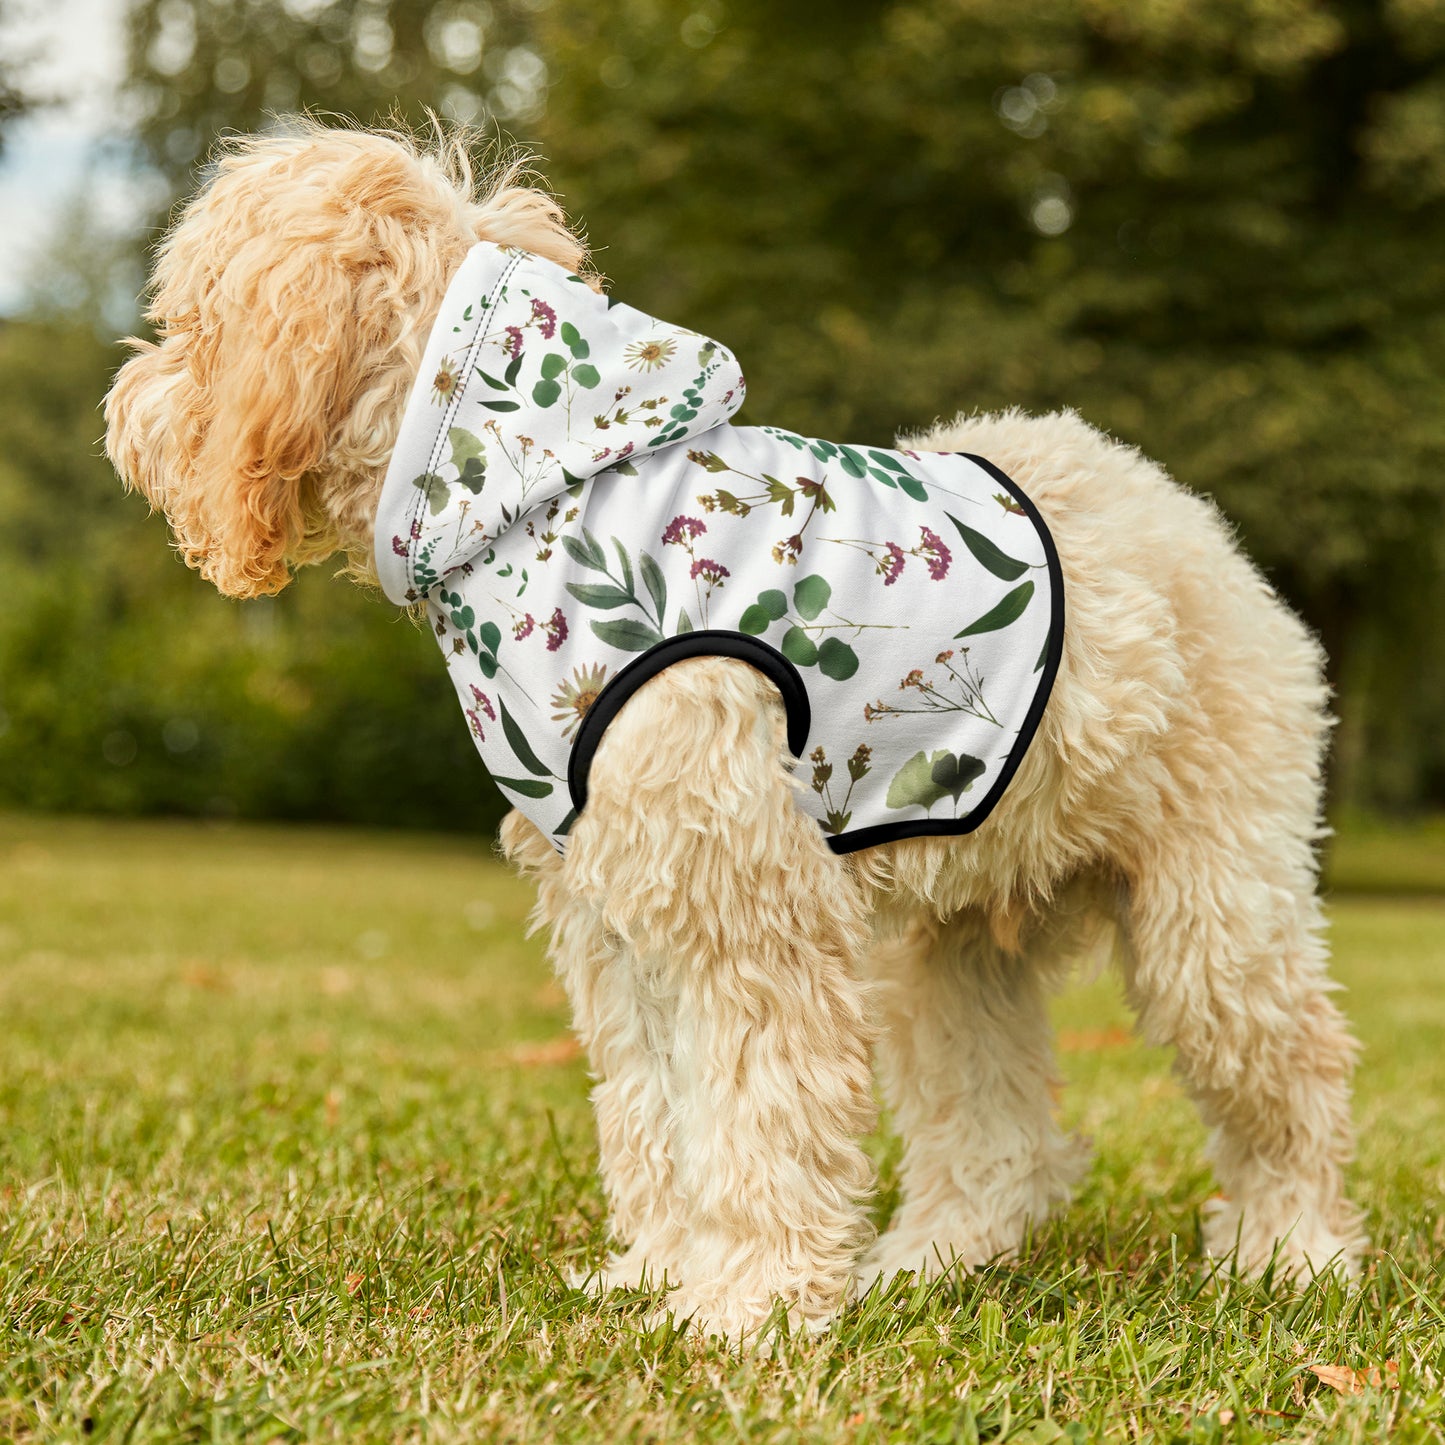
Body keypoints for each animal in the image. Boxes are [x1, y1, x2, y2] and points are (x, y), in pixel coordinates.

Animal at [104, 124, 1364, 1340]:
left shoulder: (744, 904)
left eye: (190, 320)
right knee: (995, 1133)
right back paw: (929, 1260)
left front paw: (747, 1304)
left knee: (1292, 1074)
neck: (535, 490)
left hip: (1212, 914)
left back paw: (1290, 1252)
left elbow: (759, 1111)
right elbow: (656, 1111)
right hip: (948, 947)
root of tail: (1187, 518)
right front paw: (662, 1273)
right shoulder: (617, 913)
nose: (123, 407)